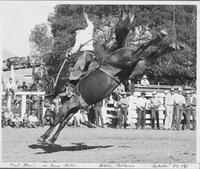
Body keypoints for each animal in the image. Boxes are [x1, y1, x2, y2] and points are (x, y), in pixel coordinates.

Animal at [37, 11, 186, 146]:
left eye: (46, 86)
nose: (46, 101)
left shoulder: (66, 106)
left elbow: (56, 121)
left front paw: (43, 138)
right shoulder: (74, 108)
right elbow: (62, 124)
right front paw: (51, 139)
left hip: (126, 57)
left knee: (141, 47)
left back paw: (160, 36)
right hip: (137, 67)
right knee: (150, 56)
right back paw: (173, 45)